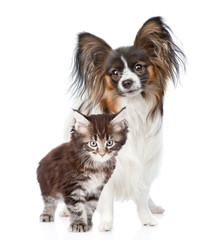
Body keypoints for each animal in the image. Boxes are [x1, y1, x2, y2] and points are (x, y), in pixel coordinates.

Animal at [64, 16, 186, 231]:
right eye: (115, 73)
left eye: (138, 67)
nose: (127, 83)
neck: (132, 109)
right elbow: (106, 199)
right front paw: (105, 224)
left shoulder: (144, 165)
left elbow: (142, 197)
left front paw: (146, 218)